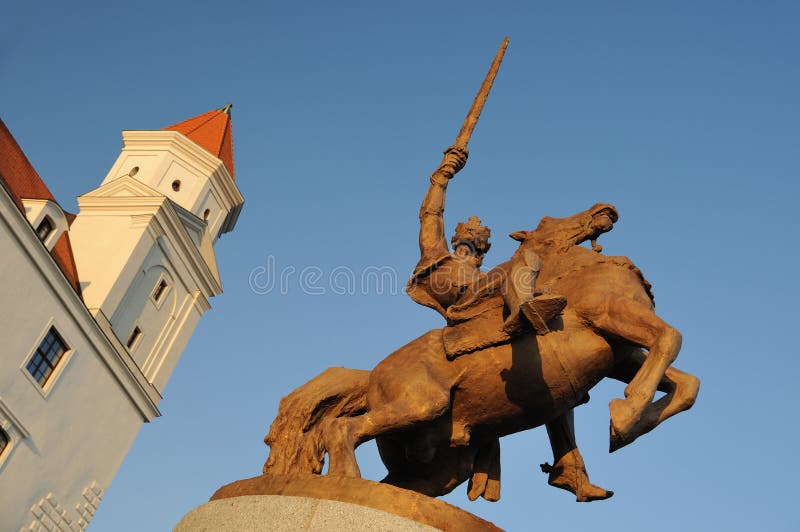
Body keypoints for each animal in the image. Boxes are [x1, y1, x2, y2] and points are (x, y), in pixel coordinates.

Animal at [264, 204, 700, 502]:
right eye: (548, 222)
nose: (602, 210)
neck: (574, 275)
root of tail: (371, 377)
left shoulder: (621, 353)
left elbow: (686, 384)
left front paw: (631, 421)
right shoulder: (613, 316)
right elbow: (671, 339)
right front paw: (624, 416)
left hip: (440, 462)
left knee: (400, 482)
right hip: (419, 404)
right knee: (341, 429)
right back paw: (345, 480)